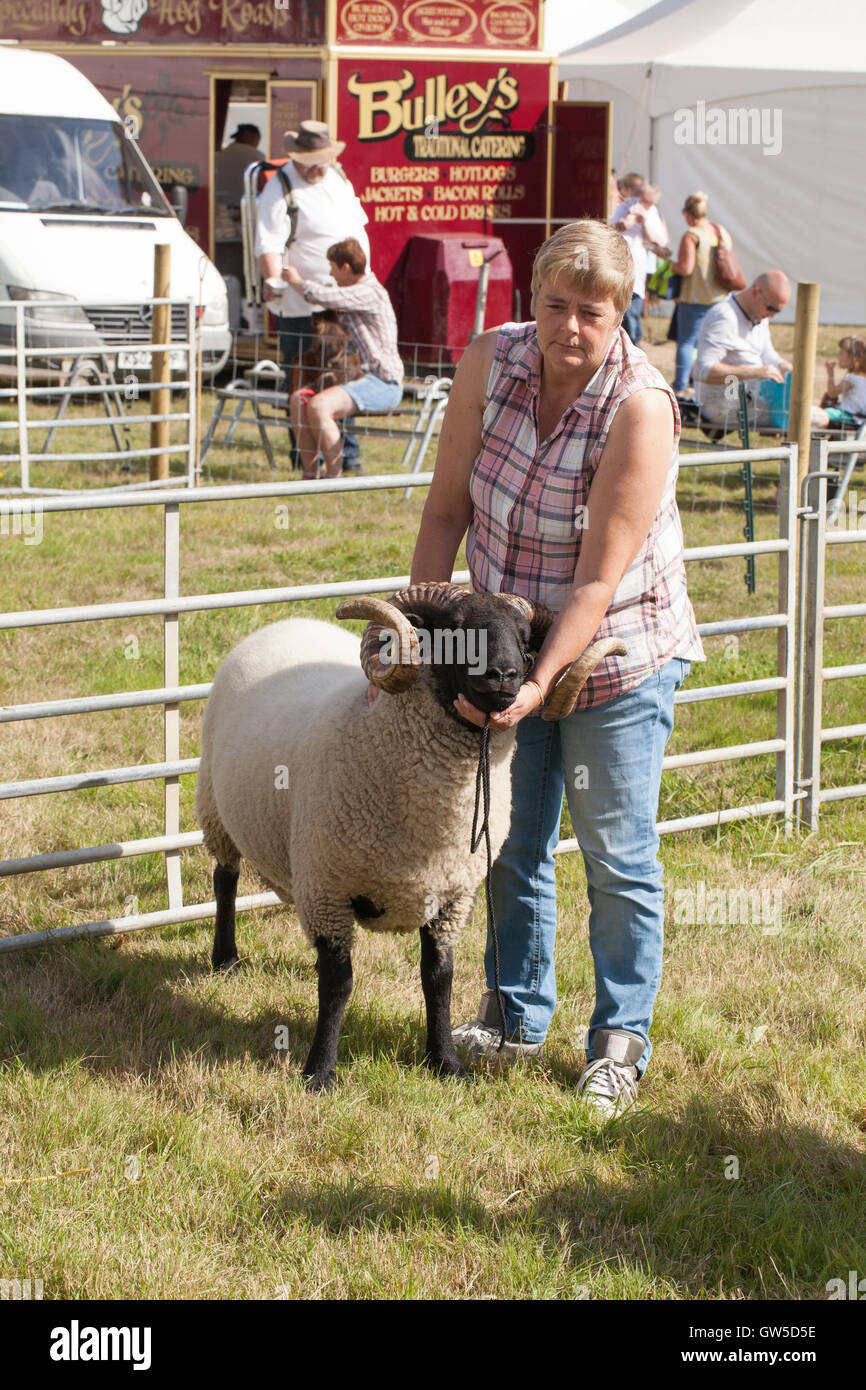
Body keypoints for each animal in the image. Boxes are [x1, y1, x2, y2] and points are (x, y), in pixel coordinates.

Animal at [194, 582, 625, 1091]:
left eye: (524, 639)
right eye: (454, 630)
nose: (504, 675)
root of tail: (286, 622)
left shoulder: (451, 896)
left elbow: (438, 978)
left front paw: (445, 1062)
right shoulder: (327, 889)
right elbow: (337, 985)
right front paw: (320, 1071)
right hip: (214, 807)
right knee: (225, 879)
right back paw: (225, 959)